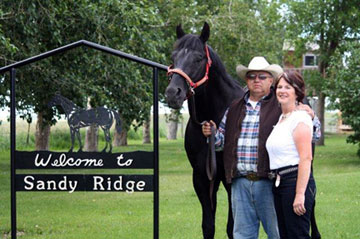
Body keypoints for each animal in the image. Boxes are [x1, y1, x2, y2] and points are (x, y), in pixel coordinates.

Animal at [165, 22, 245, 239]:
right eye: (173, 56)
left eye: (199, 57)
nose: (172, 93)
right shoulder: (202, 177)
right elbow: (208, 226)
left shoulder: (230, 178)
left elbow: (232, 227)